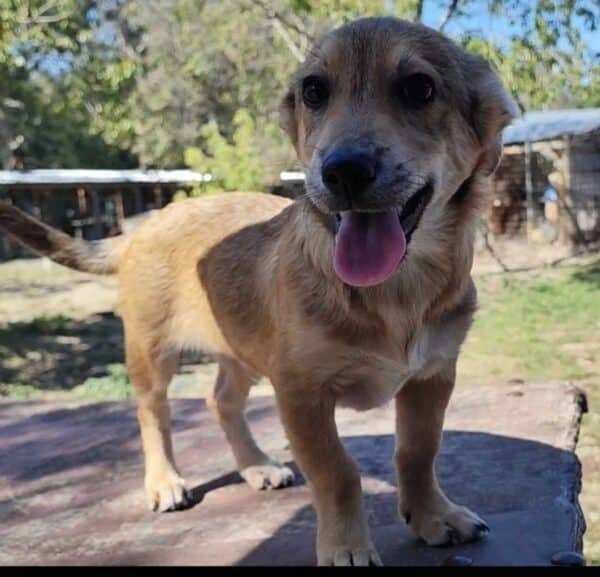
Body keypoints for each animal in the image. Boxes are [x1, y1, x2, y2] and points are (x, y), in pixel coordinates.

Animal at [0, 16, 516, 564]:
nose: (342, 170)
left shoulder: (432, 376)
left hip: (240, 351)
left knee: (220, 402)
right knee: (152, 412)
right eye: (314, 91)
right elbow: (338, 471)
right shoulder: (301, 392)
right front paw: (347, 546)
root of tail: (146, 224)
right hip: (151, 352)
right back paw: (164, 481)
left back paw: (256, 465)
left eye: (419, 88)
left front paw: (434, 516)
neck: (395, 290)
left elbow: (419, 451)